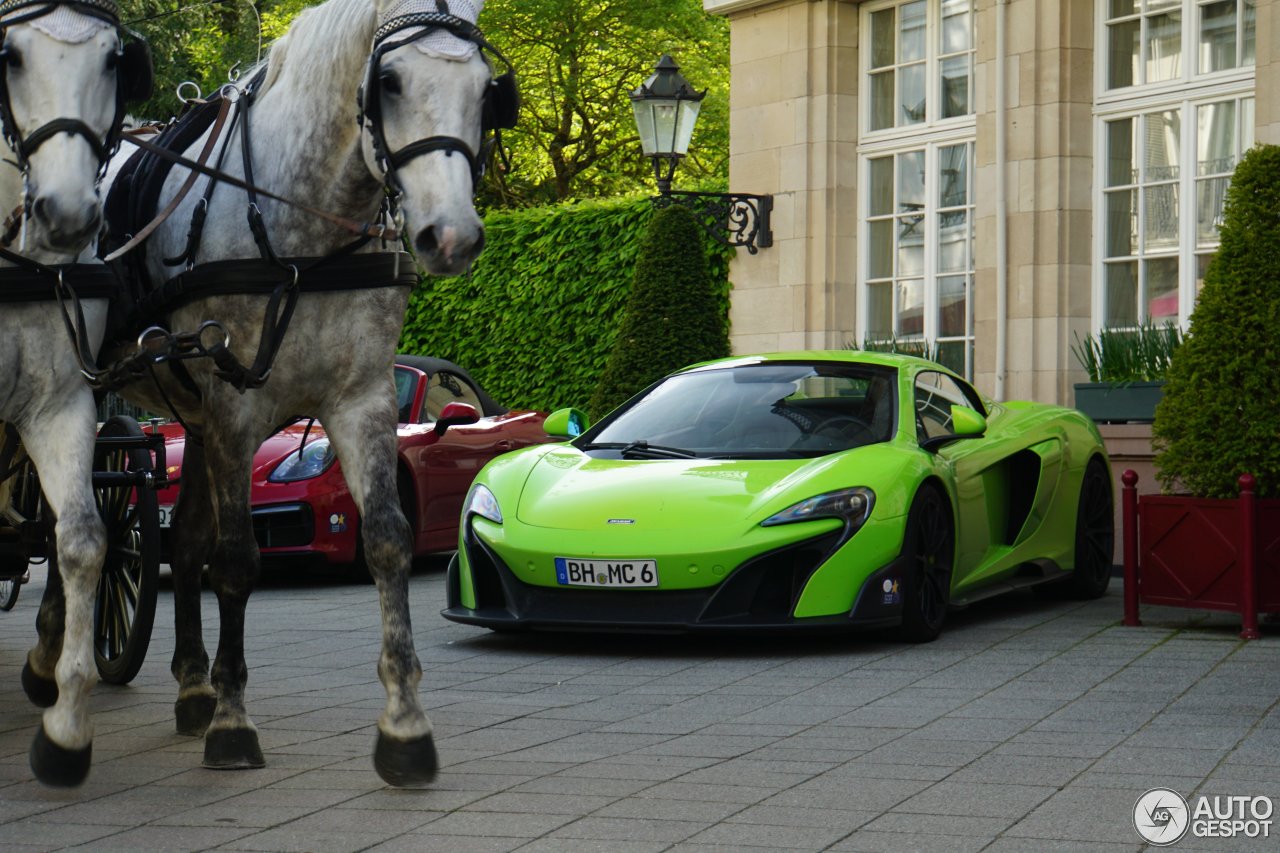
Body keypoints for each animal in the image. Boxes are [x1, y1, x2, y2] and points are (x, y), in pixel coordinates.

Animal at [93, 0, 509, 778]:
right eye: (390, 82)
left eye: (485, 89)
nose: (450, 237)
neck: (301, 230)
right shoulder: (237, 407)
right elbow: (236, 562)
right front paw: (234, 723)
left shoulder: (362, 401)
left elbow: (387, 539)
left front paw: (404, 725)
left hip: (195, 418)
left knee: (183, 542)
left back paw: (193, 685)